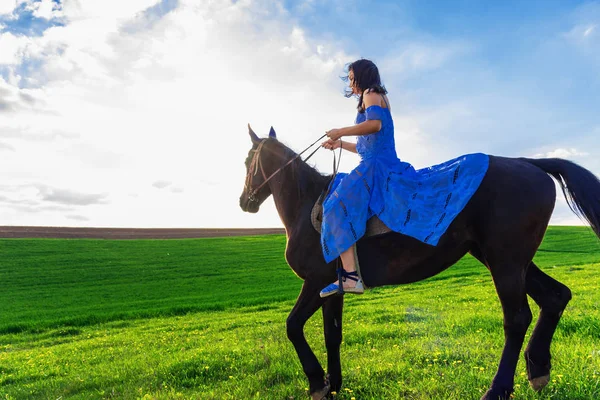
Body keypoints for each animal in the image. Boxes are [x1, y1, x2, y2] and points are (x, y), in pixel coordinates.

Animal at [238, 126, 600, 400]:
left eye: (246, 161)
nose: (244, 202)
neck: (306, 205)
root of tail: (529, 163)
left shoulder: (314, 282)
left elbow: (292, 326)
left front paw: (316, 383)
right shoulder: (332, 288)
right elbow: (332, 335)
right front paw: (333, 386)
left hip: (505, 263)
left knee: (517, 318)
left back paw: (497, 389)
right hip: (506, 259)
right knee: (555, 296)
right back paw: (538, 369)